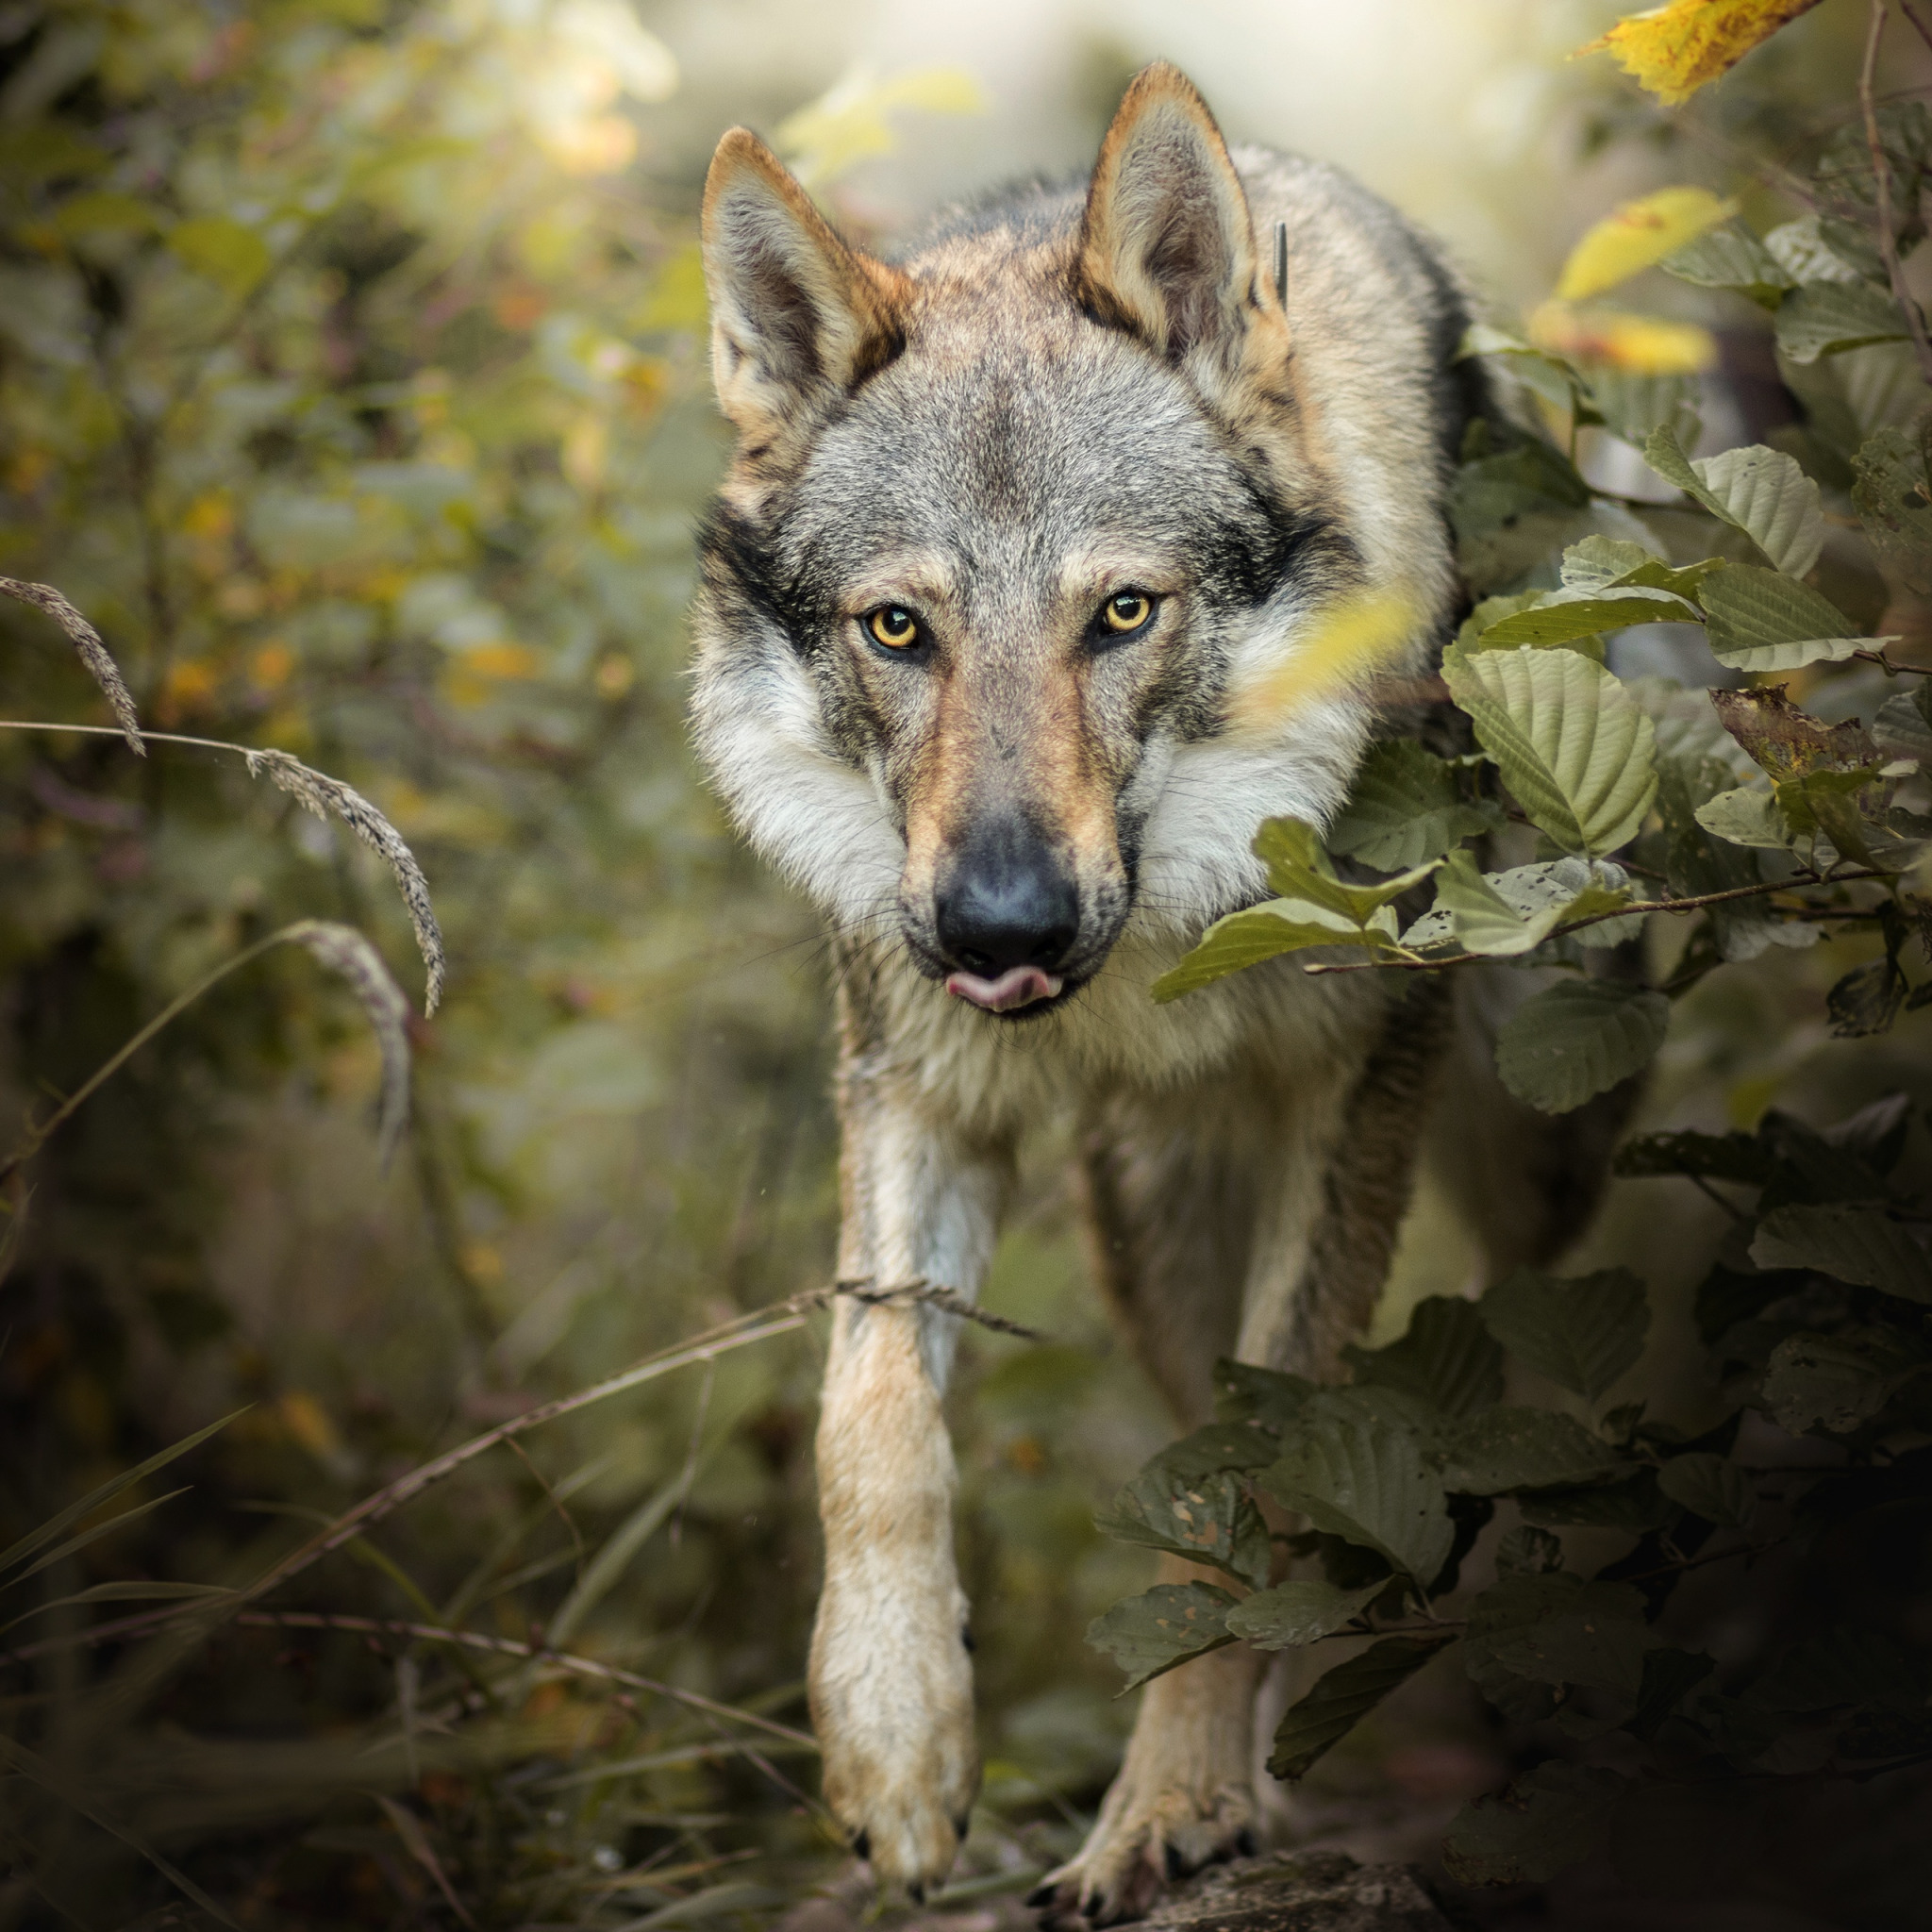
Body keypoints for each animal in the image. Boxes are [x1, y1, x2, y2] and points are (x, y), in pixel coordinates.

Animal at [688, 60, 1623, 1916]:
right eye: (896, 632)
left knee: (1508, 1326)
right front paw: (896, 1745)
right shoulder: (914, 1088)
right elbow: (868, 1419)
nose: (998, 928)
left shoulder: (1361, 1091)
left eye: (1121, 613)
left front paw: (1166, 1800)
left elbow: (1267, 1477)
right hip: (1146, 1223)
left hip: (1520, 1120)